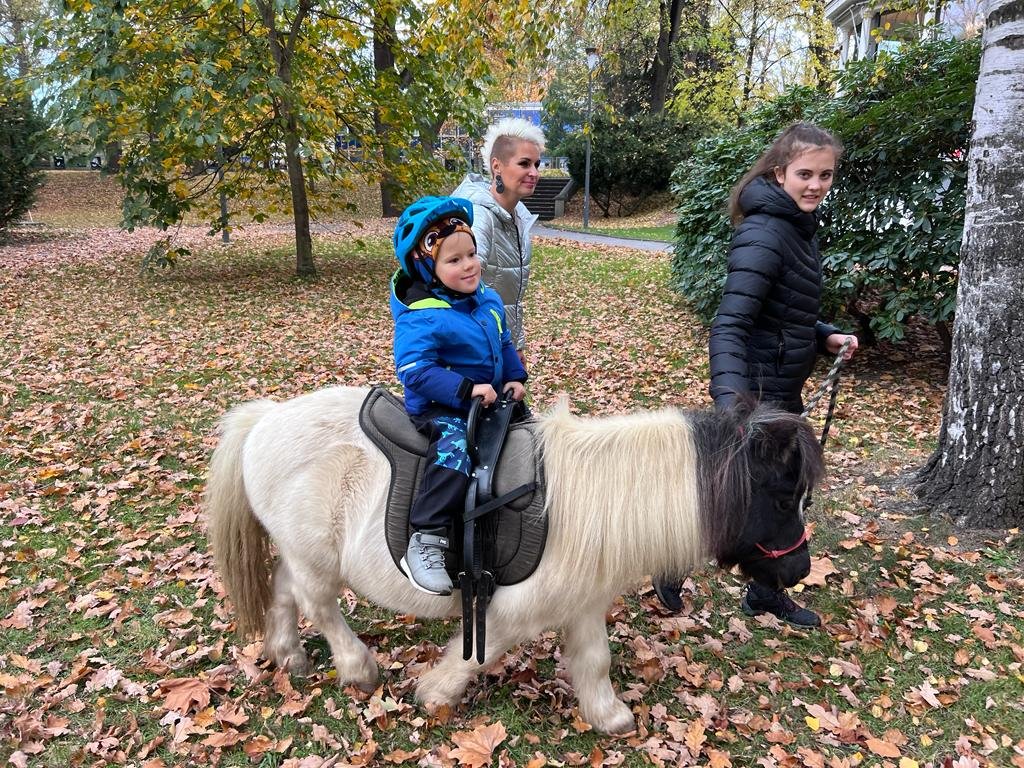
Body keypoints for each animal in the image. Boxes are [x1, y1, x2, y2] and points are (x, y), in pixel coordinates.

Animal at [206, 386, 824, 734]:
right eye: (781, 497)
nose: (799, 572)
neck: (597, 498)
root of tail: (263, 419)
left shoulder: (583, 603)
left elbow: (594, 660)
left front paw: (611, 718)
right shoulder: (513, 610)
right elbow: (481, 652)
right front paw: (435, 694)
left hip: (301, 551)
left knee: (286, 590)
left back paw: (289, 656)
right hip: (315, 557)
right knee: (319, 604)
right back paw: (357, 668)